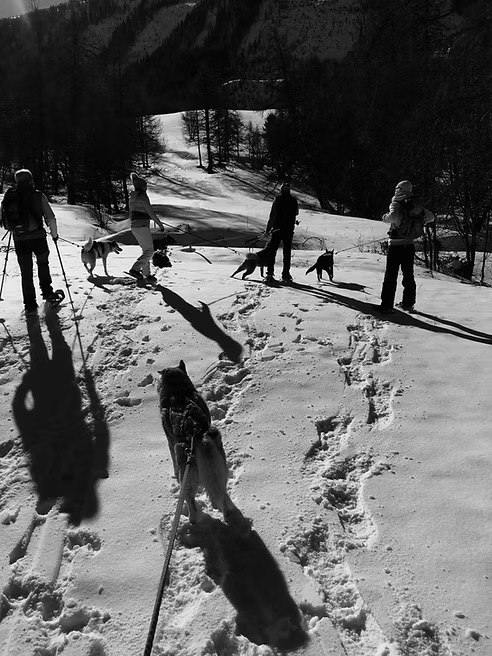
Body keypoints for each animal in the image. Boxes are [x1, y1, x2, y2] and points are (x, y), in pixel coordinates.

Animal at [159, 362, 243, 524]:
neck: (178, 392)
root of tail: (198, 436)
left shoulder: (170, 442)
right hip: (220, 466)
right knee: (222, 492)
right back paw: (229, 513)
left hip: (186, 473)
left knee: (191, 501)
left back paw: (193, 520)